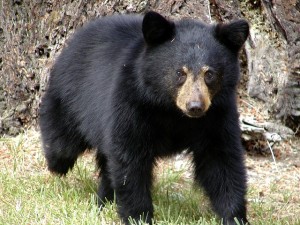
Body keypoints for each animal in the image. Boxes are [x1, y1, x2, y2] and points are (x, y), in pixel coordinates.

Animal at [40, 11, 251, 225]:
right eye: (179, 72)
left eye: (210, 74)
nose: (195, 107)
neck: (172, 111)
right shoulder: (132, 103)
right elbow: (130, 160)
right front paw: (138, 216)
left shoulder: (217, 115)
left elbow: (221, 161)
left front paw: (235, 217)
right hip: (71, 97)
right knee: (63, 141)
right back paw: (57, 166)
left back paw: (103, 201)